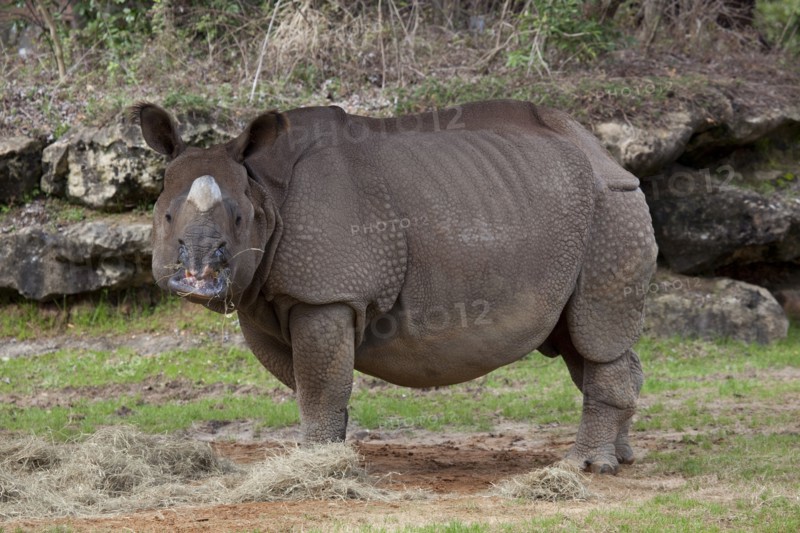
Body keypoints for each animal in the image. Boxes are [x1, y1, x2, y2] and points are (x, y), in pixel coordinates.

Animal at [131, 99, 657, 474]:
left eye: (240, 220)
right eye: (166, 218)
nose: (200, 272)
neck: (265, 191)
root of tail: (605, 156)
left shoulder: (325, 294)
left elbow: (319, 385)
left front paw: (315, 465)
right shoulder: (264, 298)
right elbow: (312, 382)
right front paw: (334, 453)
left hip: (612, 211)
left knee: (595, 332)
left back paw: (586, 467)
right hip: (572, 215)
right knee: (580, 340)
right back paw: (622, 458)